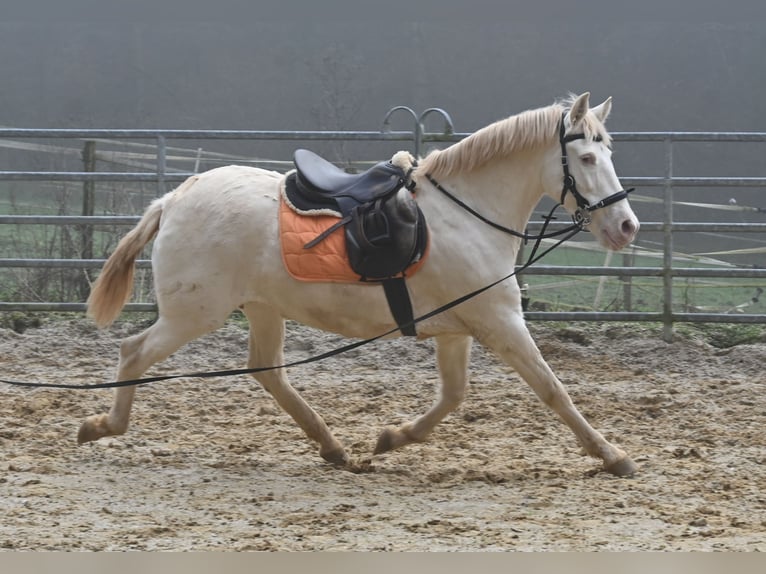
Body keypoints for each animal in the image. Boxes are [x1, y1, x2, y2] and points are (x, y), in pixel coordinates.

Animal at [79, 93, 640, 476]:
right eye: (587, 159)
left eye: (609, 154)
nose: (627, 227)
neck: (468, 215)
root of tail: (174, 198)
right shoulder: (499, 322)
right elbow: (552, 389)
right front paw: (612, 455)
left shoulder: (459, 328)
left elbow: (453, 395)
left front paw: (392, 438)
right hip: (195, 313)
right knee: (134, 352)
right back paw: (102, 426)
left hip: (260, 307)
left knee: (268, 371)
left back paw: (334, 448)